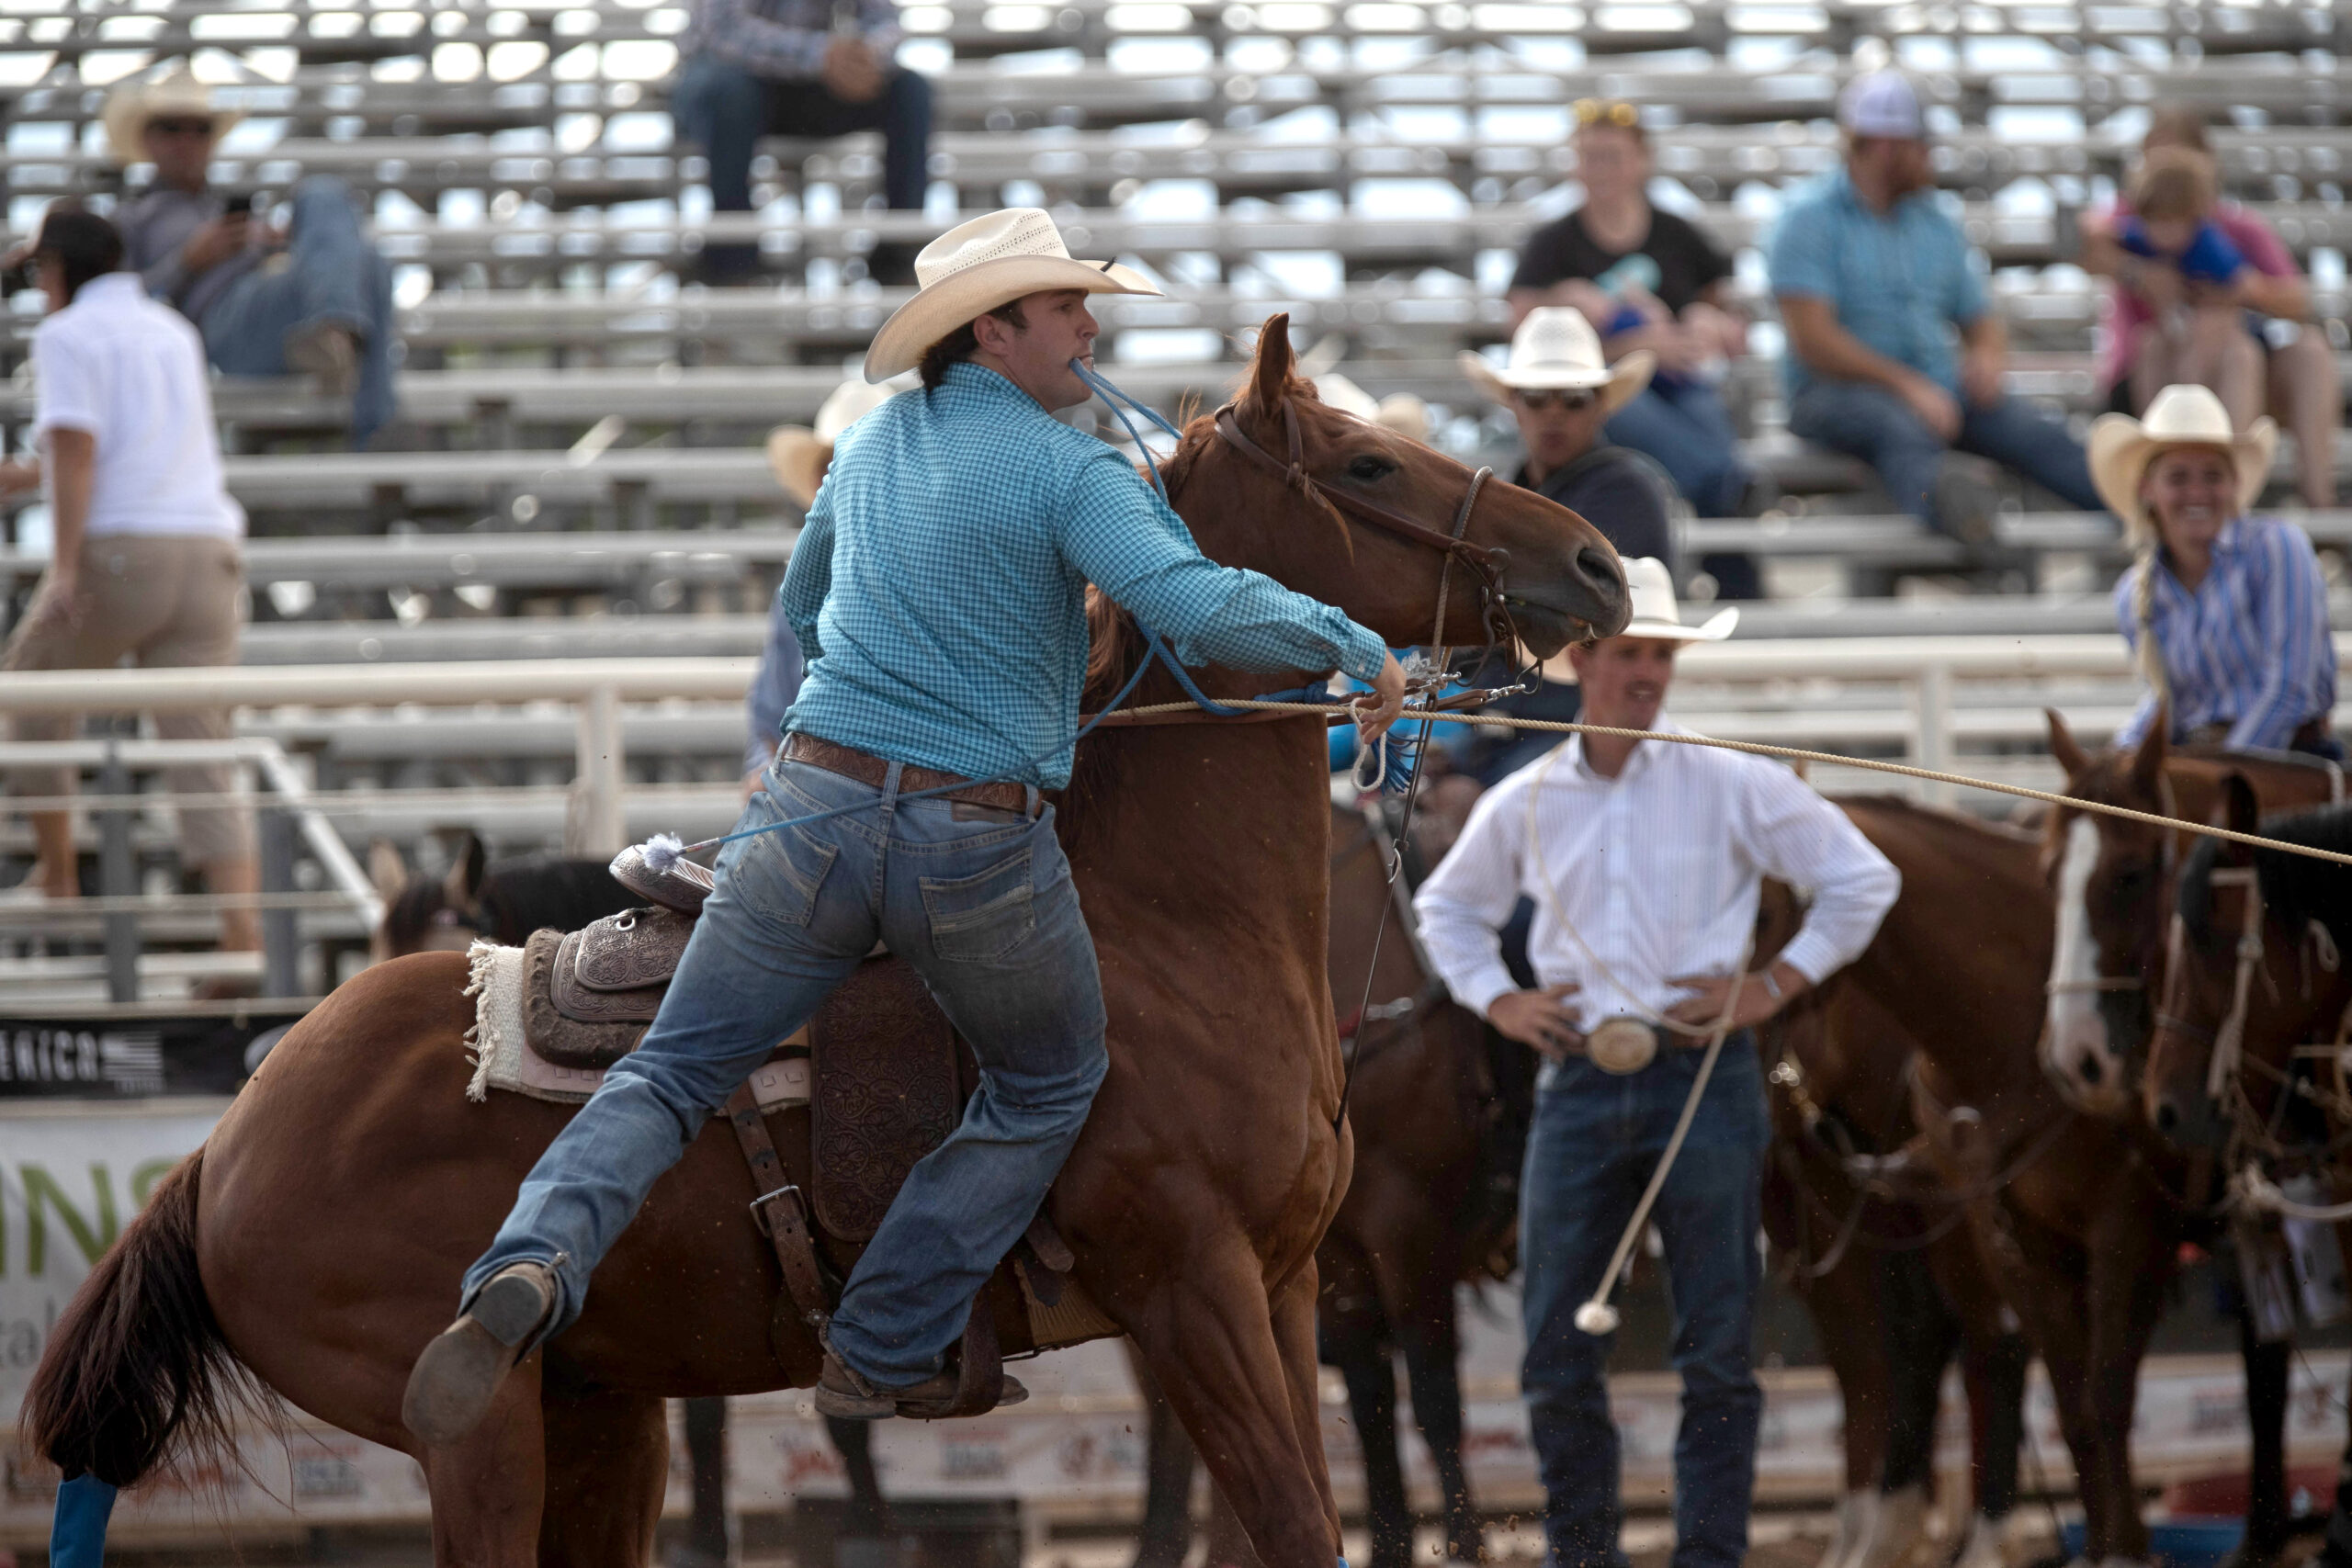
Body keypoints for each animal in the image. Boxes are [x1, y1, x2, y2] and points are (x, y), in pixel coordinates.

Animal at [22, 320, 1636, 1568]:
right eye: (1366, 464)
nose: (1600, 563)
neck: (1174, 931)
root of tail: (223, 1146)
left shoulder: (1291, 1284)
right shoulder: (1196, 1286)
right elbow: (1300, 1518)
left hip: (602, 1412)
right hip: (484, 1435)